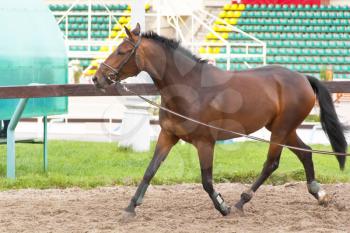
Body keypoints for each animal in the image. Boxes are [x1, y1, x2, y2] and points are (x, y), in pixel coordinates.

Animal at [93, 23, 348, 217]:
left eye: (122, 51)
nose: (97, 78)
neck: (190, 89)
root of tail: (303, 77)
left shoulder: (205, 142)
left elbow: (206, 180)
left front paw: (222, 206)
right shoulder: (168, 136)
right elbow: (150, 171)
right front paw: (130, 208)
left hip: (280, 131)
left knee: (271, 164)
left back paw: (241, 202)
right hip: (284, 129)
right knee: (305, 153)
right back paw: (319, 194)